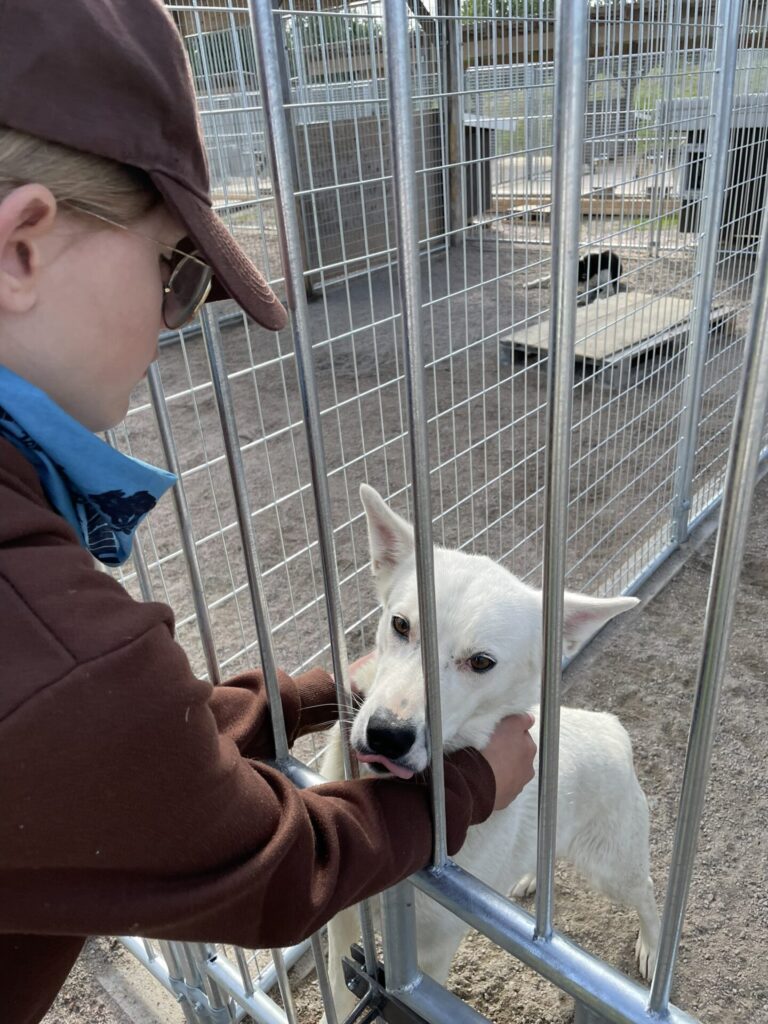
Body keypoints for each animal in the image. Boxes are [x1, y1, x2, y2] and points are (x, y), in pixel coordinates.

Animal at [319, 487, 663, 1015]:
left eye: (481, 662)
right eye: (400, 624)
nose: (386, 735)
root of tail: (611, 728)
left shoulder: (431, 952)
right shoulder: (342, 926)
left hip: (614, 868)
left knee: (646, 892)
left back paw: (652, 949)